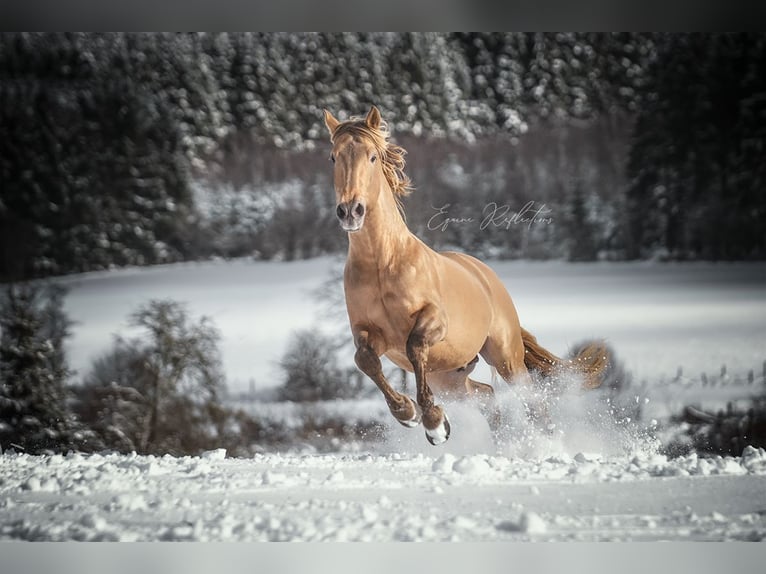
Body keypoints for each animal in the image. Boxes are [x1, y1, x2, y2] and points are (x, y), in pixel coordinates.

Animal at [320, 108, 608, 448]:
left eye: (373, 156)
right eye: (333, 157)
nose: (351, 211)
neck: (384, 264)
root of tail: (486, 276)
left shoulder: (434, 322)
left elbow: (414, 345)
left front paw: (432, 423)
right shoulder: (366, 332)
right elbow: (365, 360)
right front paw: (408, 413)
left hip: (505, 357)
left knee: (531, 401)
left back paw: (550, 444)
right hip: (449, 376)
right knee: (486, 395)